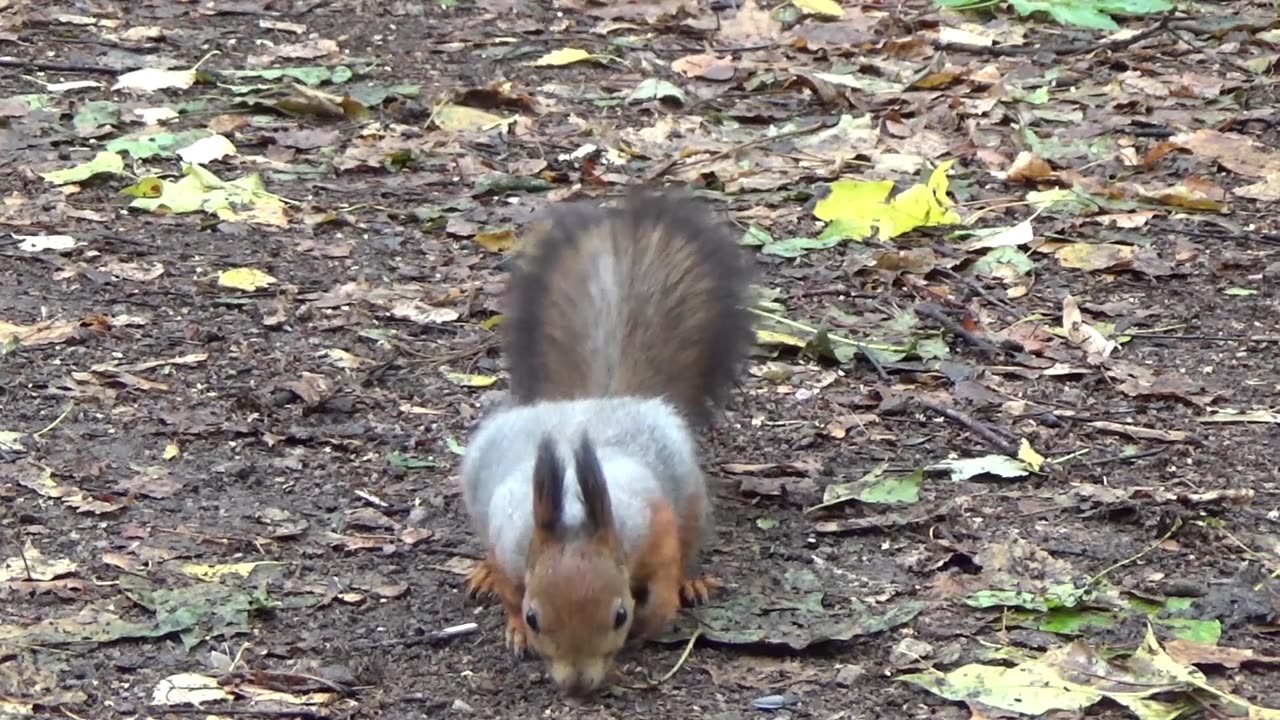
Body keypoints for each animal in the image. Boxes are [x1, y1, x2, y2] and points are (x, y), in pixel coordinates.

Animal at [460, 188, 752, 691]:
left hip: (690, 495)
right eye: (536, 618)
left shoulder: (651, 523)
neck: (575, 514)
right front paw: (514, 628)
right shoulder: (509, 541)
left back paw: (692, 582)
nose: (578, 684)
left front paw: (659, 611)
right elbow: (510, 591)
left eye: (618, 615)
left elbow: (666, 569)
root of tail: (603, 399)